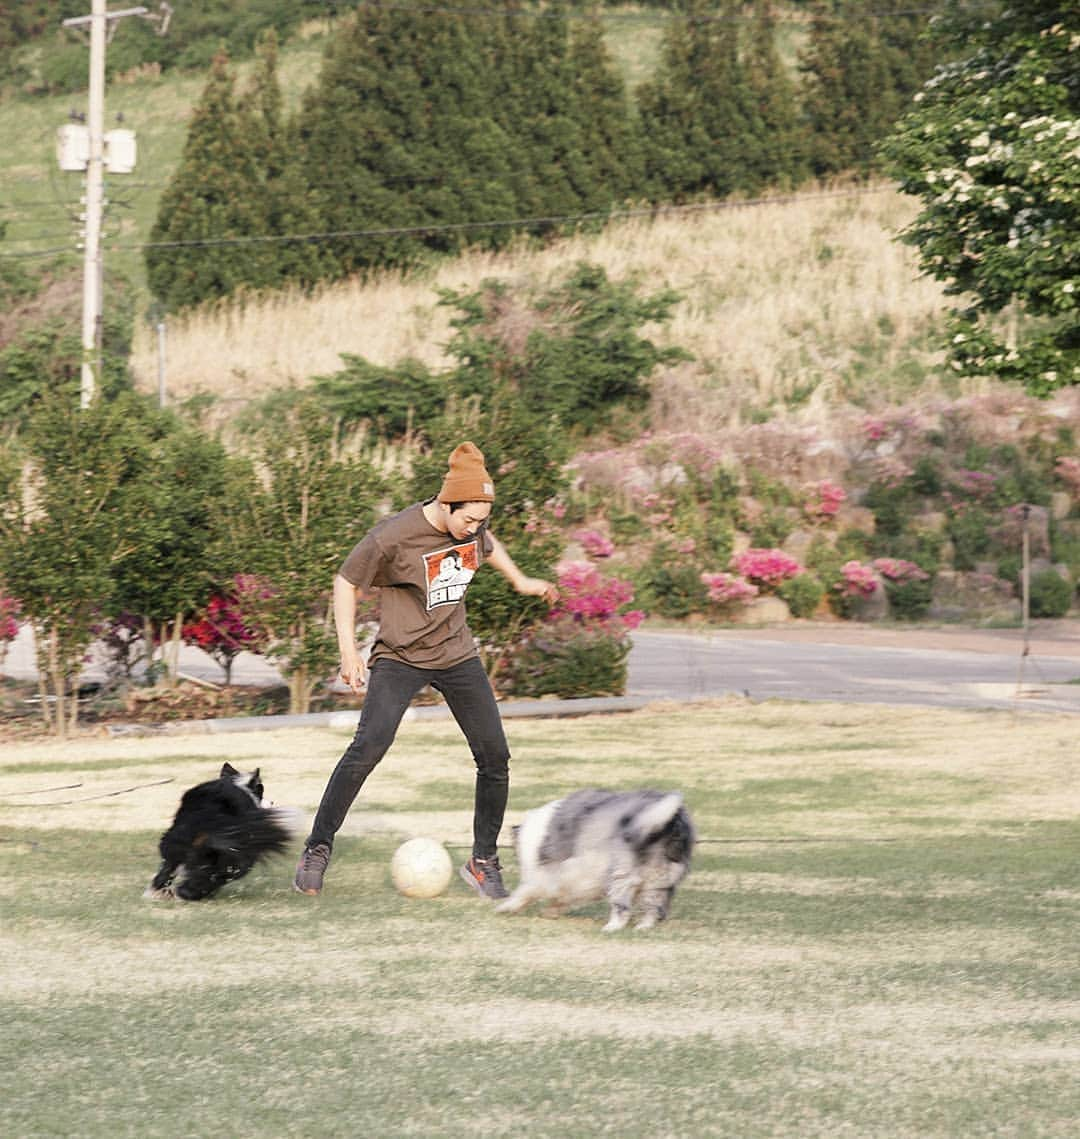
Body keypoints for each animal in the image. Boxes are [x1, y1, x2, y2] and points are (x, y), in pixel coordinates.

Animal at [143, 765, 298, 897]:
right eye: (260, 791)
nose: (272, 802)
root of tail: (208, 817)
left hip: (174, 842)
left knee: (168, 867)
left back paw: (158, 892)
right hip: (236, 851)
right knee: (220, 873)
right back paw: (190, 893)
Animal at [496, 788, 697, 929]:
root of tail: (670, 821)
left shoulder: (546, 874)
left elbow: (526, 891)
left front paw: (506, 907)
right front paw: (552, 911)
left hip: (621, 874)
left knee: (622, 907)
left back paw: (611, 927)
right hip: (659, 880)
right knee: (652, 907)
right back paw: (643, 927)